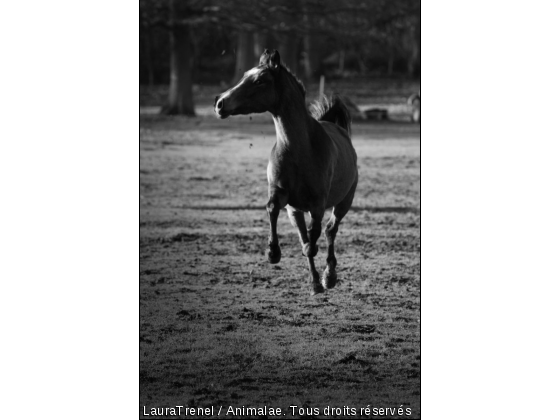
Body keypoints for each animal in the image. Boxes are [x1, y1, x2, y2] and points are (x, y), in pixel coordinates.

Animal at [214, 49, 358, 296]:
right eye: (244, 76)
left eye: (260, 81)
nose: (220, 103)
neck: (300, 150)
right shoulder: (283, 196)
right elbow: (273, 210)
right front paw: (273, 252)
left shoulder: (317, 205)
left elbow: (314, 238)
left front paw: (322, 276)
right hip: (295, 211)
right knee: (306, 236)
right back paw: (316, 282)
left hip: (343, 203)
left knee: (330, 231)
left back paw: (328, 277)